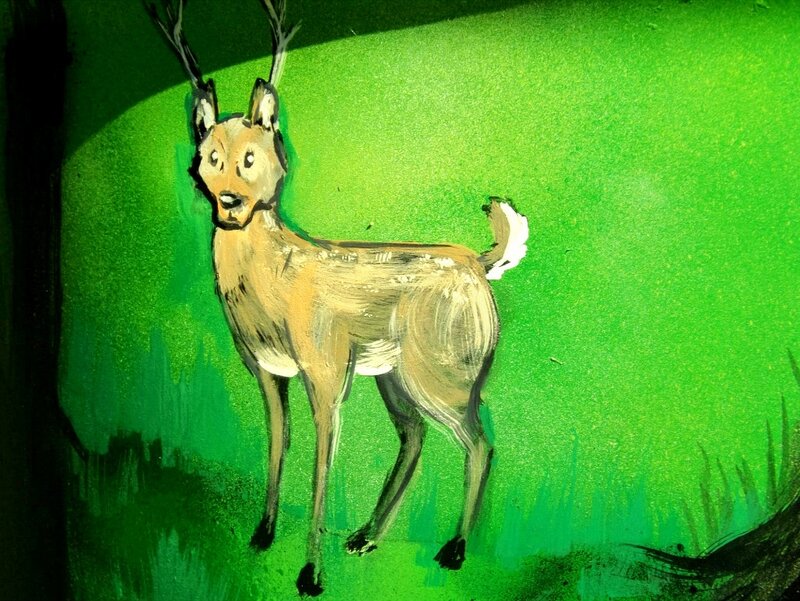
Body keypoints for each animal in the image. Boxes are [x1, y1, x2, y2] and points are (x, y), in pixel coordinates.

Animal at [148, 0, 529, 595]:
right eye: (209, 155)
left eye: (253, 156)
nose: (229, 202)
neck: (273, 287)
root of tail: (480, 264)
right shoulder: (266, 370)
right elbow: (277, 445)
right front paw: (262, 535)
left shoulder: (325, 371)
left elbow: (321, 464)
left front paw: (309, 575)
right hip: (394, 377)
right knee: (416, 436)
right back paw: (366, 537)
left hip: (442, 373)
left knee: (480, 442)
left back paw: (453, 551)